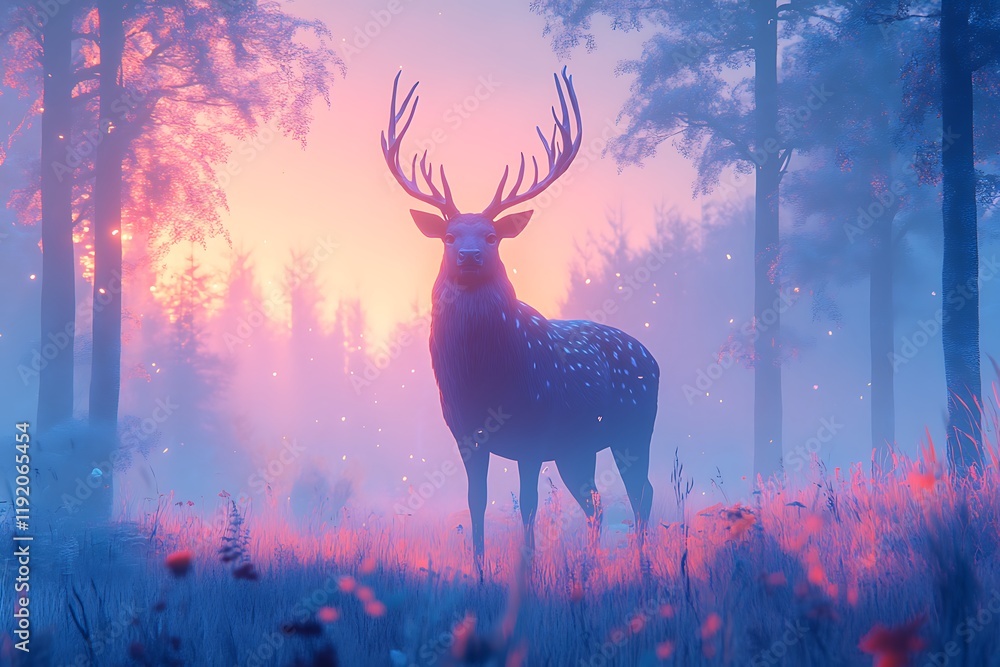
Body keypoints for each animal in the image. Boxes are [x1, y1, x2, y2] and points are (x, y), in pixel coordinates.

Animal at [382, 68, 659, 580]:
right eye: (450, 236)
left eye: (491, 236)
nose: (470, 255)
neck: (484, 378)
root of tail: (652, 357)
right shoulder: (465, 435)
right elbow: (476, 502)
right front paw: (478, 570)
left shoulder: (535, 429)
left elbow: (528, 504)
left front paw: (526, 571)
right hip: (578, 448)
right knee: (595, 502)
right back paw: (590, 568)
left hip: (635, 425)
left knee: (641, 491)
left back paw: (643, 566)